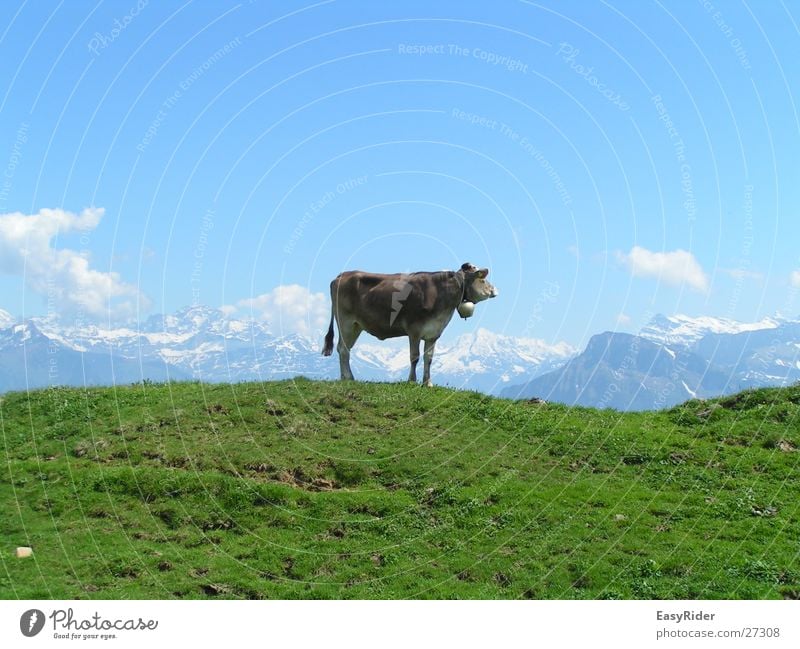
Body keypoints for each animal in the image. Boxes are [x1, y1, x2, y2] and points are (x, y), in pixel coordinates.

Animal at [322, 262, 496, 384]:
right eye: (483, 279)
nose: (494, 290)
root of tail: (341, 275)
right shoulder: (414, 330)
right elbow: (414, 357)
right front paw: (412, 381)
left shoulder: (433, 333)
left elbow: (429, 358)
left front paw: (427, 383)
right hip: (345, 322)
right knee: (343, 349)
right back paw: (348, 377)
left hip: (356, 326)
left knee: (345, 349)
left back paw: (346, 377)